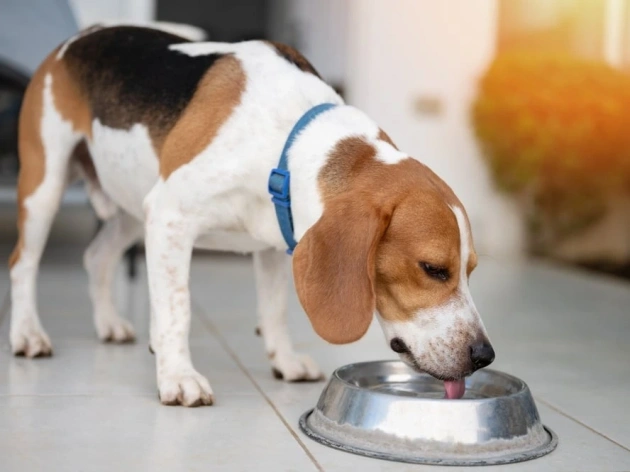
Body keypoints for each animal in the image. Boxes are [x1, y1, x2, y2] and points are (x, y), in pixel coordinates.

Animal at [7, 25, 496, 406]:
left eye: (471, 270)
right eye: (432, 269)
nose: (484, 356)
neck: (288, 141)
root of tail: (77, 37)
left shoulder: (278, 237)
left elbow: (275, 310)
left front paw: (284, 360)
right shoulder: (170, 216)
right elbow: (177, 307)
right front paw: (178, 376)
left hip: (134, 203)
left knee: (97, 257)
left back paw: (108, 323)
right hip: (46, 186)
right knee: (22, 263)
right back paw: (27, 334)